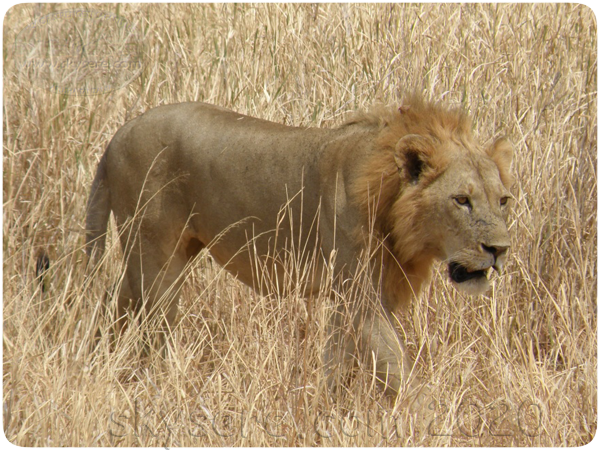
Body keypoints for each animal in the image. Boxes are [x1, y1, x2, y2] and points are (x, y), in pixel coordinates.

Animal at [86, 96, 512, 398]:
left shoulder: (354, 298)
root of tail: (117, 136)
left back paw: (103, 365)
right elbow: (398, 371)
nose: (500, 249)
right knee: (153, 328)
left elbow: (339, 361)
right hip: (157, 259)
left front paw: (324, 410)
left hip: (154, 256)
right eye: (461, 200)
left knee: (115, 301)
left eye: (503, 200)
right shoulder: (360, 294)